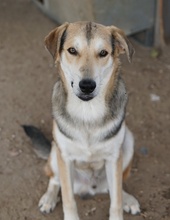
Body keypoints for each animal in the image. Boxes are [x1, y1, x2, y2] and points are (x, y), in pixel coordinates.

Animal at [25, 21, 140, 220]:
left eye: (103, 53)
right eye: (72, 50)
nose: (87, 86)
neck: (88, 111)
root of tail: (90, 188)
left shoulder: (113, 158)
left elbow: (116, 201)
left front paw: (121, 204)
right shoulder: (65, 157)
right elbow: (68, 199)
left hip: (128, 143)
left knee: (115, 188)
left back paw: (128, 198)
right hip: (55, 152)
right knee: (54, 179)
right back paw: (49, 198)